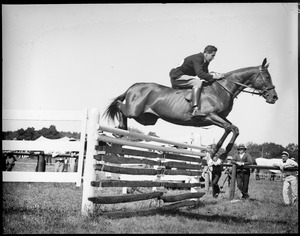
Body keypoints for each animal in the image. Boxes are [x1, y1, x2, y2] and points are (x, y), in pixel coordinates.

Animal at [104, 58, 278, 160]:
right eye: (267, 77)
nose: (274, 97)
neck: (222, 89)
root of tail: (133, 86)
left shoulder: (220, 116)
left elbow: (235, 128)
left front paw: (224, 153)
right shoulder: (210, 116)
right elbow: (229, 128)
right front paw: (215, 152)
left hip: (147, 119)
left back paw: (121, 130)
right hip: (135, 111)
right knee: (119, 105)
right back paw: (120, 128)